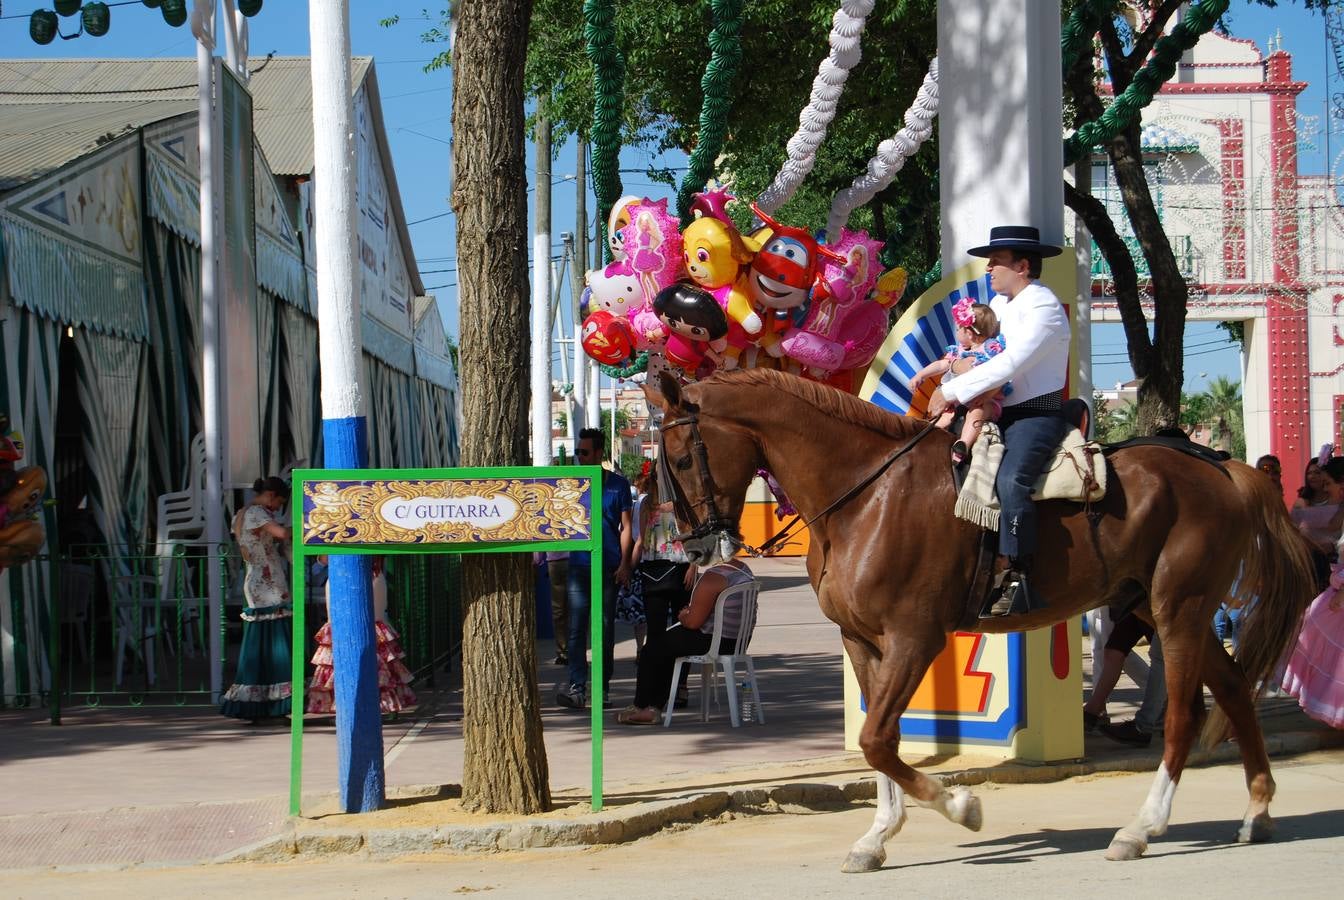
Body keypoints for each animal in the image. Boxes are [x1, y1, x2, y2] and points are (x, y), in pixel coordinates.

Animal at [650, 365, 1311, 875]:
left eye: (680, 457)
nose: (696, 548)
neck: (867, 496)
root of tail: (1222, 468)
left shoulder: (915, 638)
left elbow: (876, 740)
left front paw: (959, 807)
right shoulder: (862, 641)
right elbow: (878, 743)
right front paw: (876, 838)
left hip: (1180, 610)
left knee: (1185, 715)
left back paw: (1141, 829)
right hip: (1164, 608)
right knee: (1234, 690)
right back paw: (1257, 812)